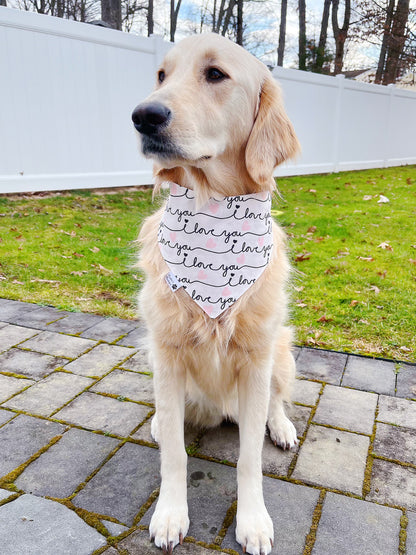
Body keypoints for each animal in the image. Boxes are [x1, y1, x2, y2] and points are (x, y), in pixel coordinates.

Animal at [132, 32, 300, 552]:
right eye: (161, 75)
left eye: (215, 74)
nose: (144, 115)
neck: (212, 209)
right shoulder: (167, 353)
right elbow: (174, 455)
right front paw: (170, 514)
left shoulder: (256, 357)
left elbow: (249, 458)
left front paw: (254, 521)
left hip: (281, 352)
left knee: (275, 401)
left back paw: (281, 426)